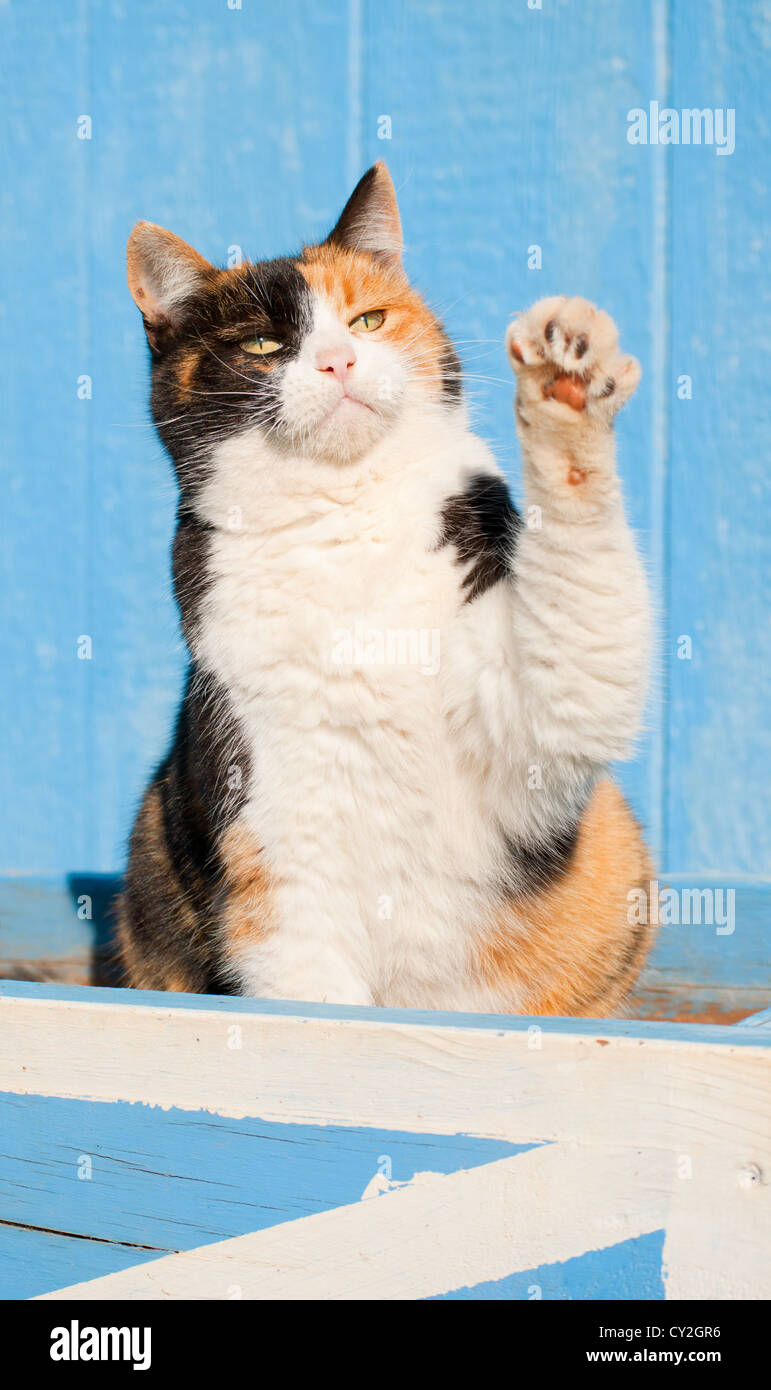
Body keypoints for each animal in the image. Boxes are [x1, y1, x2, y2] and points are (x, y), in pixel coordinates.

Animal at [117, 162, 655, 1017]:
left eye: (367, 319)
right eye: (264, 342)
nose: (338, 361)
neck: (346, 523)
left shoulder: (532, 725)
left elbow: (577, 636)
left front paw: (563, 380)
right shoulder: (274, 837)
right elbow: (313, 1000)